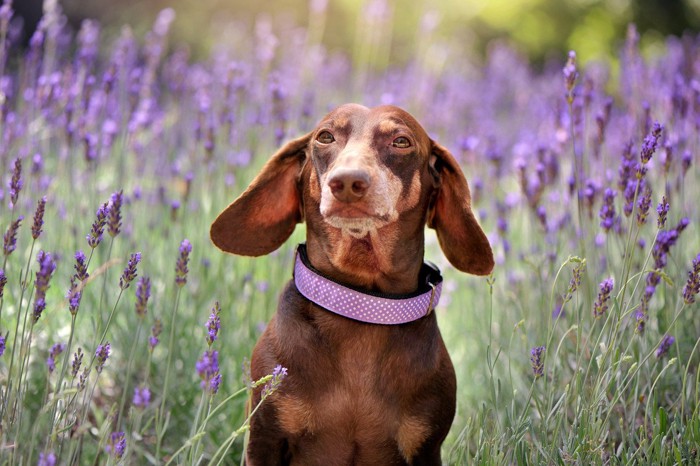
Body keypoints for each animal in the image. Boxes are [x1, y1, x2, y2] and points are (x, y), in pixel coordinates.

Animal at [211, 104, 494, 464]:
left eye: (401, 141)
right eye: (325, 136)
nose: (346, 182)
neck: (362, 302)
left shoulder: (426, 448)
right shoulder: (264, 438)